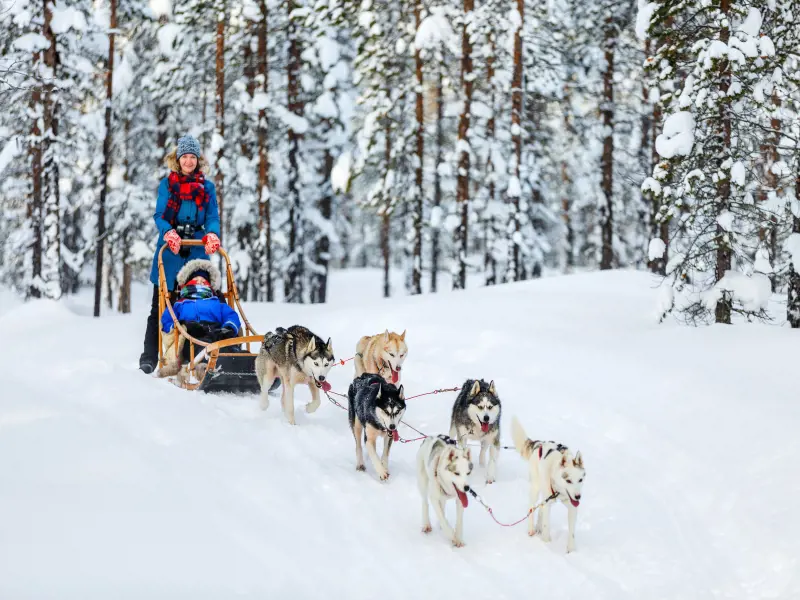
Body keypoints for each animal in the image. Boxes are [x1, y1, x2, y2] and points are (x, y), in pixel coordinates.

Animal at [512, 418, 588, 552]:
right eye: (568, 480)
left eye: (580, 480)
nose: (578, 497)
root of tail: (539, 443)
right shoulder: (549, 502)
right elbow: (546, 526)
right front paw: (546, 543)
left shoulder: (572, 507)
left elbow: (572, 532)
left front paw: (571, 551)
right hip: (536, 487)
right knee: (532, 507)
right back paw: (531, 529)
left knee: (541, 507)